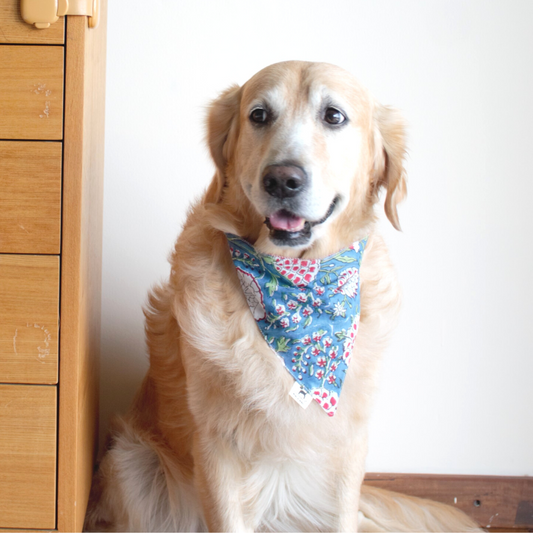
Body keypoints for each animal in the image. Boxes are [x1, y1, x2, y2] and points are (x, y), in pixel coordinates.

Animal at [86, 60, 478, 528]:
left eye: (333, 116)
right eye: (259, 115)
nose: (282, 179)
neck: (296, 288)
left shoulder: (347, 445)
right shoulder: (214, 443)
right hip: (129, 459)